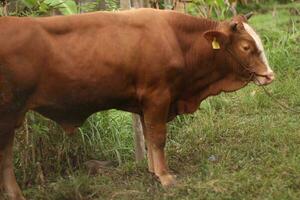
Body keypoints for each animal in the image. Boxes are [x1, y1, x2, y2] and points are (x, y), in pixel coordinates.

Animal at [0, 8, 274, 199]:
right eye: (246, 46)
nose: (269, 75)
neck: (177, 40)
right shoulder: (158, 95)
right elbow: (158, 136)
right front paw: (166, 177)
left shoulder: (146, 102)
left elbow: (149, 135)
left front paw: (153, 171)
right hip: (8, 114)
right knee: (5, 156)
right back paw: (16, 194)